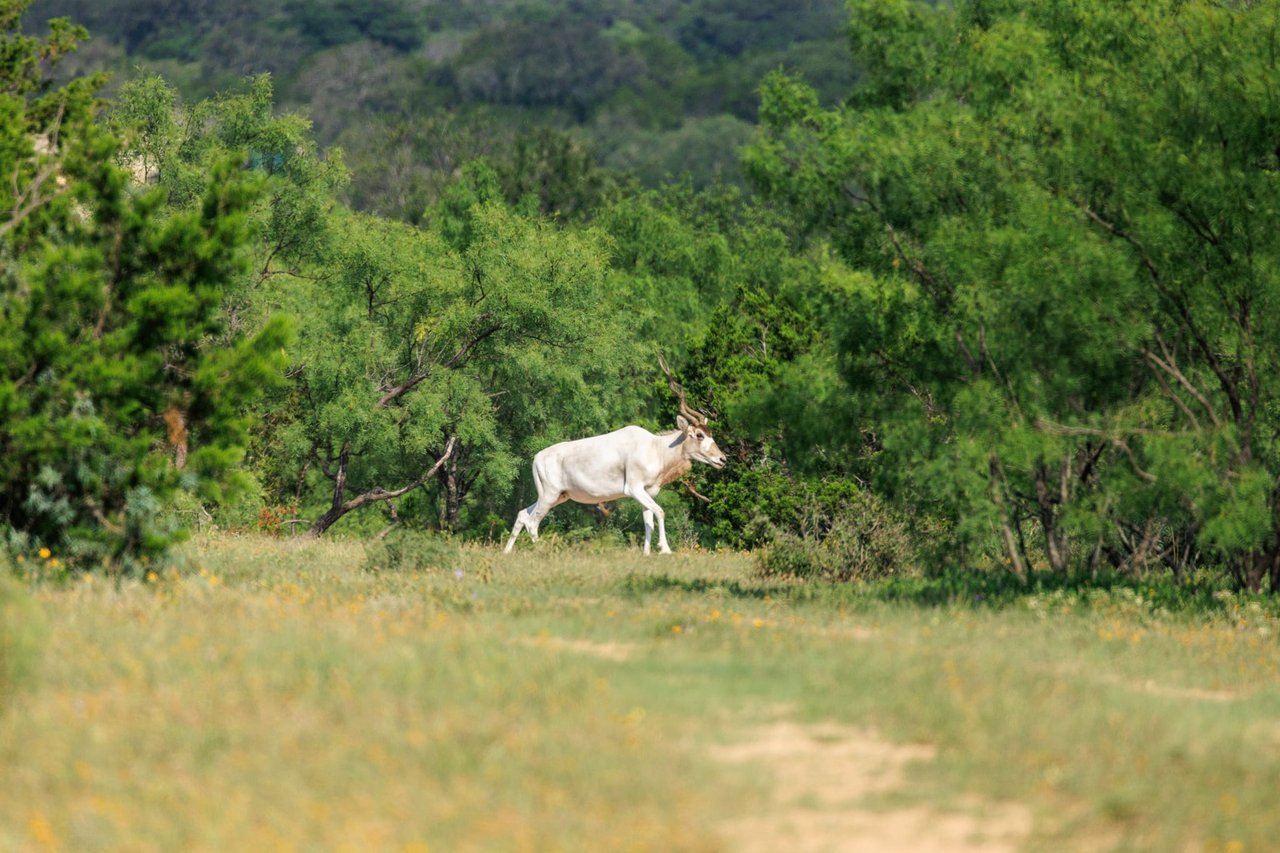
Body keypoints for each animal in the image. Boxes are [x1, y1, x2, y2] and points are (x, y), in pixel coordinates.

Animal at [501, 356, 727, 555]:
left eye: (710, 434)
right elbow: (660, 512)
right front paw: (665, 550)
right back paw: (543, 552)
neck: (655, 448)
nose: (722, 459)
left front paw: (646, 554)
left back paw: (506, 552)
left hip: (558, 496)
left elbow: (649, 522)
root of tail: (537, 458)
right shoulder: (634, 489)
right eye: (698, 435)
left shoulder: (647, 493)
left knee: (522, 515)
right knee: (532, 522)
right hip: (549, 495)